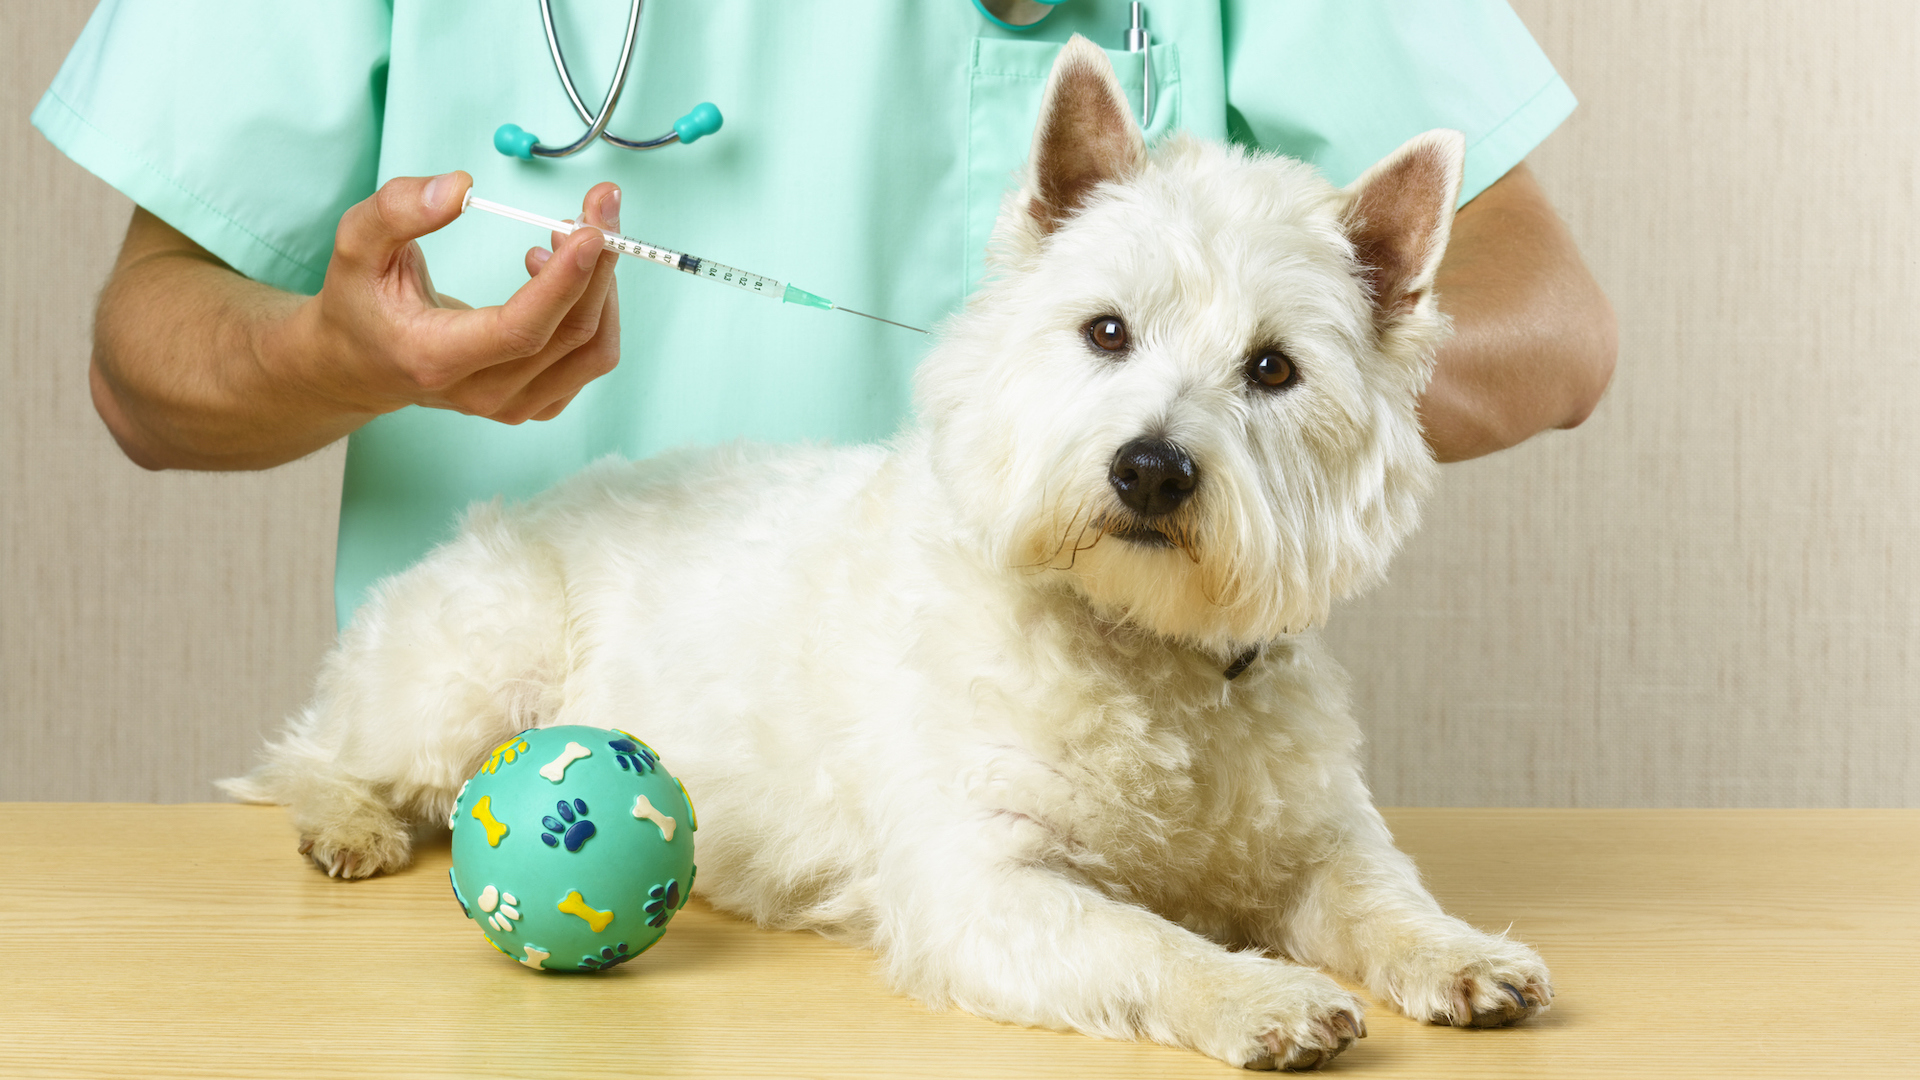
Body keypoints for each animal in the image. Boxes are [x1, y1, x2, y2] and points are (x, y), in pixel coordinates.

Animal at [228, 35, 1543, 1068]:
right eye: (1105, 330)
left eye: (1274, 367)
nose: (1152, 470)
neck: (1140, 640)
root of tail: (515, 514)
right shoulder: (986, 890)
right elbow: (1143, 936)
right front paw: (1262, 993)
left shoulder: (1317, 836)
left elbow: (1383, 895)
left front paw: (1466, 955)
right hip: (477, 665)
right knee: (308, 752)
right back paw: (348, 824)